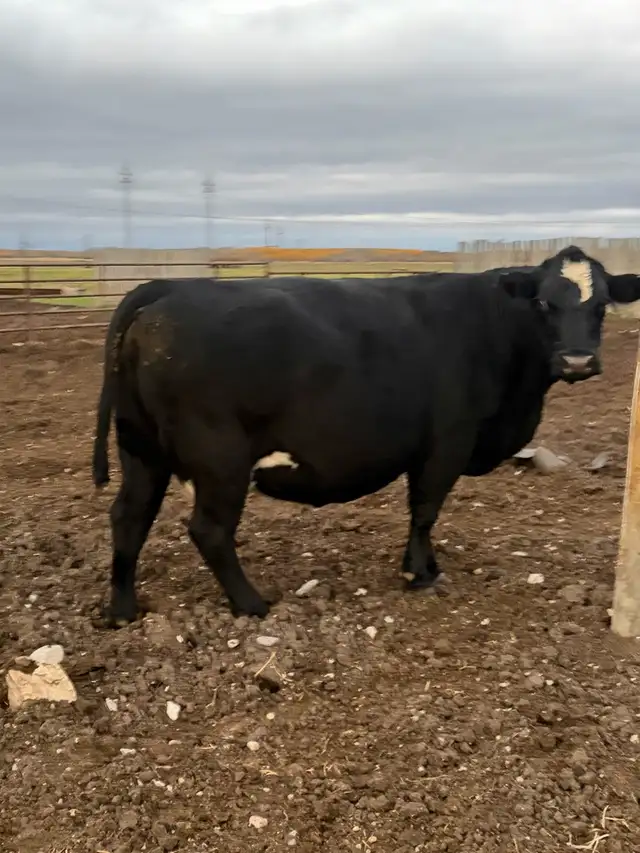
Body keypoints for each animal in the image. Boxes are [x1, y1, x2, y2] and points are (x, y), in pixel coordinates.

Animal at [91, 245, 640, 626]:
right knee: (209, 530)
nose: (577, 361)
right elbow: (425, 509)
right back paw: (252, 603)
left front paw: (429, 565)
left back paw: (123, 609)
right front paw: (419, 574)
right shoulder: (446, 443)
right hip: (218, 458)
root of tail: (166, 288)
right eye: (545, 303)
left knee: (129, 516)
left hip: (141, 447)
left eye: (602, 305)